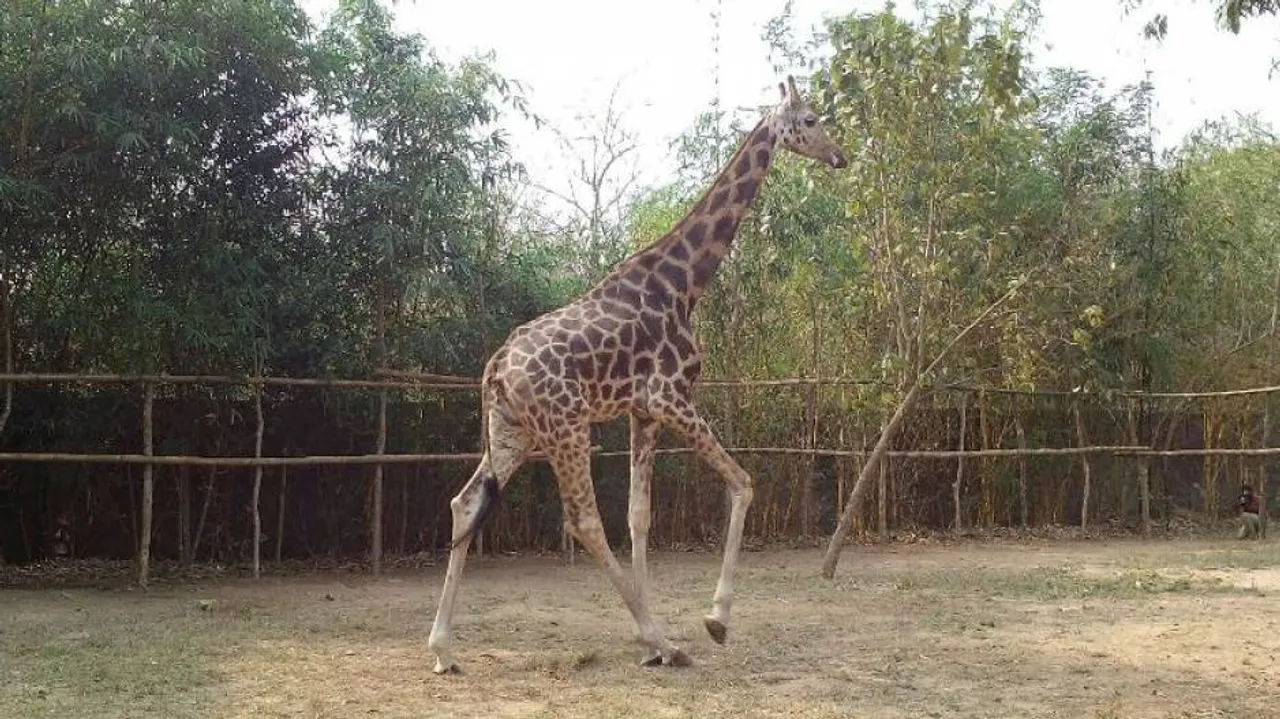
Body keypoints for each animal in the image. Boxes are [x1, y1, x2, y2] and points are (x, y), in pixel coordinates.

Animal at [428, 76, 848, 674]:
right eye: (810, 119)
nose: (839, 156)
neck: (684, 285)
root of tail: (495, 368)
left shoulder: (643, 412)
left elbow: (639, 517)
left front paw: (658, 634)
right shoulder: (673, 397)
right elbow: (742, 483)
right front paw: (712, 621)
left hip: (513, 432)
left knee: (466, 503)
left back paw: (443, 648)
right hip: (565, 428)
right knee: (581, 520)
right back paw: (662, 640)